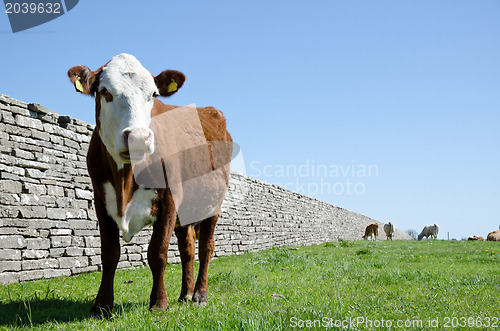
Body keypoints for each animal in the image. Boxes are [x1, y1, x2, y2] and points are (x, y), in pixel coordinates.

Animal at [67, 54, 233, 320]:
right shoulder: (101, 202)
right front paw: (102, 305)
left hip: (213, 203)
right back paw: (185, 294)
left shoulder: (169, 200)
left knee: (206, 247)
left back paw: (199, 295)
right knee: (187, 247)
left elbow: (157, 252)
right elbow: (109, 253)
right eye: (105, 91)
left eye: (153, 94)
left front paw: (159, 303)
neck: (125, 179)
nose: (137, 137)